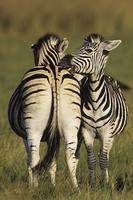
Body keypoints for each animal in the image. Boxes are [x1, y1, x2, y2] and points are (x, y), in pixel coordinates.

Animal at [60, 33, 128, 187]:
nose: (64, 60)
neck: (95, 99)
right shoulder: (87, 132)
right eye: (79, 47)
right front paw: (92, 184)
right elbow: (91, 159)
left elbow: (103, 160)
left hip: (111, 135)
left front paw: (105, 185)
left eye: (89, 51)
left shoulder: (107, 132)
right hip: (79, 133)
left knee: (105, 155)